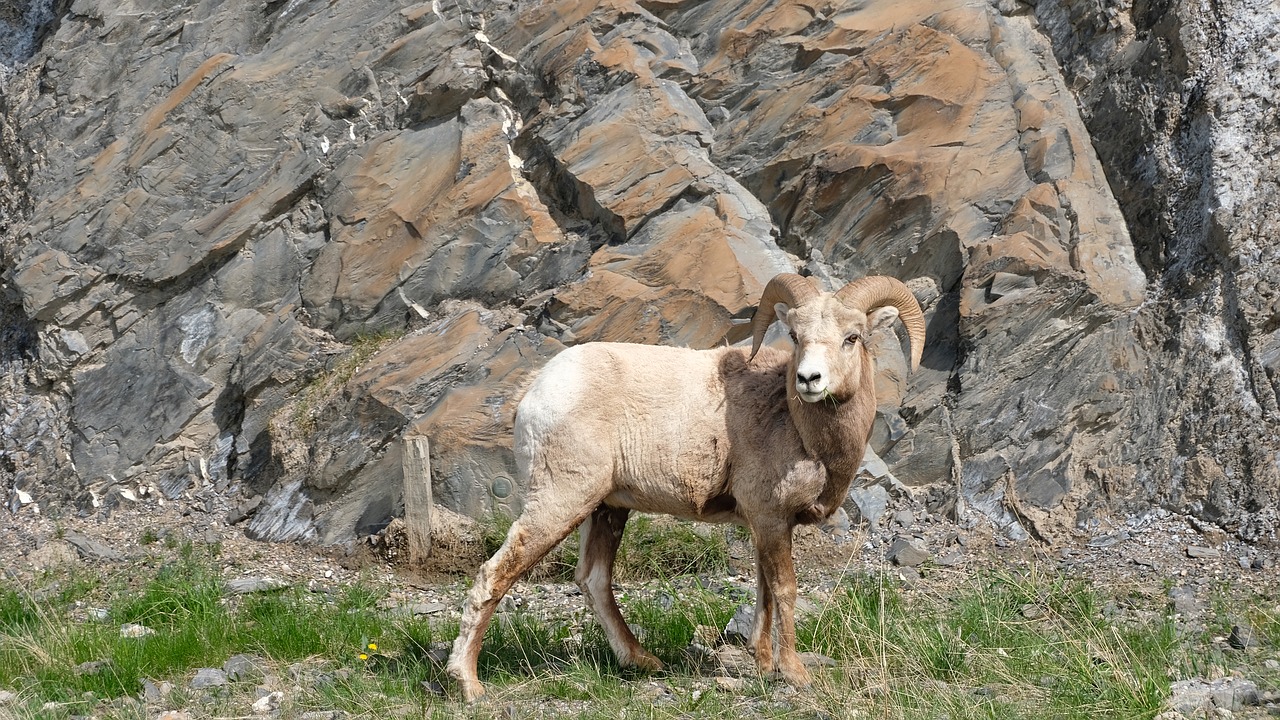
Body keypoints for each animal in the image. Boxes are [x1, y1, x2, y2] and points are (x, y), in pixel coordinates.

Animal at [445, 271, 926, 696]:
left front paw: (763, 666)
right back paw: (468, 685)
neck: (805, 431)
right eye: (795, 335)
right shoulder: (771, 518)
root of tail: (535, 391)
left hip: (607, 509)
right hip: (560, 502)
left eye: (852, 337)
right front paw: (794, 674)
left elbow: (763, 592)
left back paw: (642, 661)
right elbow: (784, 590)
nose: (809, 380)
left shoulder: (765, 524)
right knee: (494, 575)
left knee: (593, 580)